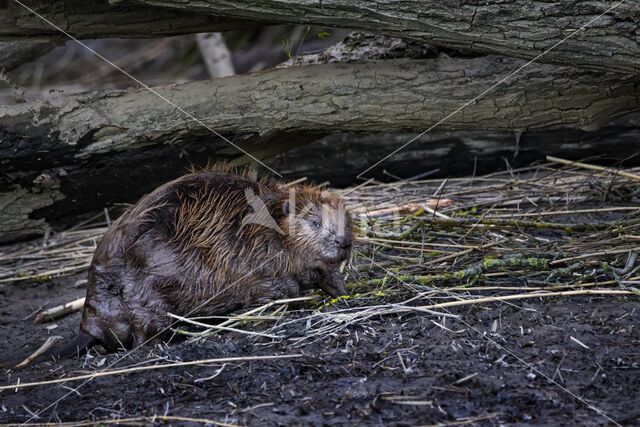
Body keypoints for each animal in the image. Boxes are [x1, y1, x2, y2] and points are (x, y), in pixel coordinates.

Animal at [22, 167, 352, 364]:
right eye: (314, 222)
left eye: (347, 219)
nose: (344, 241)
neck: (264, 224)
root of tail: (90, 324)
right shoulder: (250, 257)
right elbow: (274, 285)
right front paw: (298, 295)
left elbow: (324, 274)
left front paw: (341, 289)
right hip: (149, 299)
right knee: (143, 336)